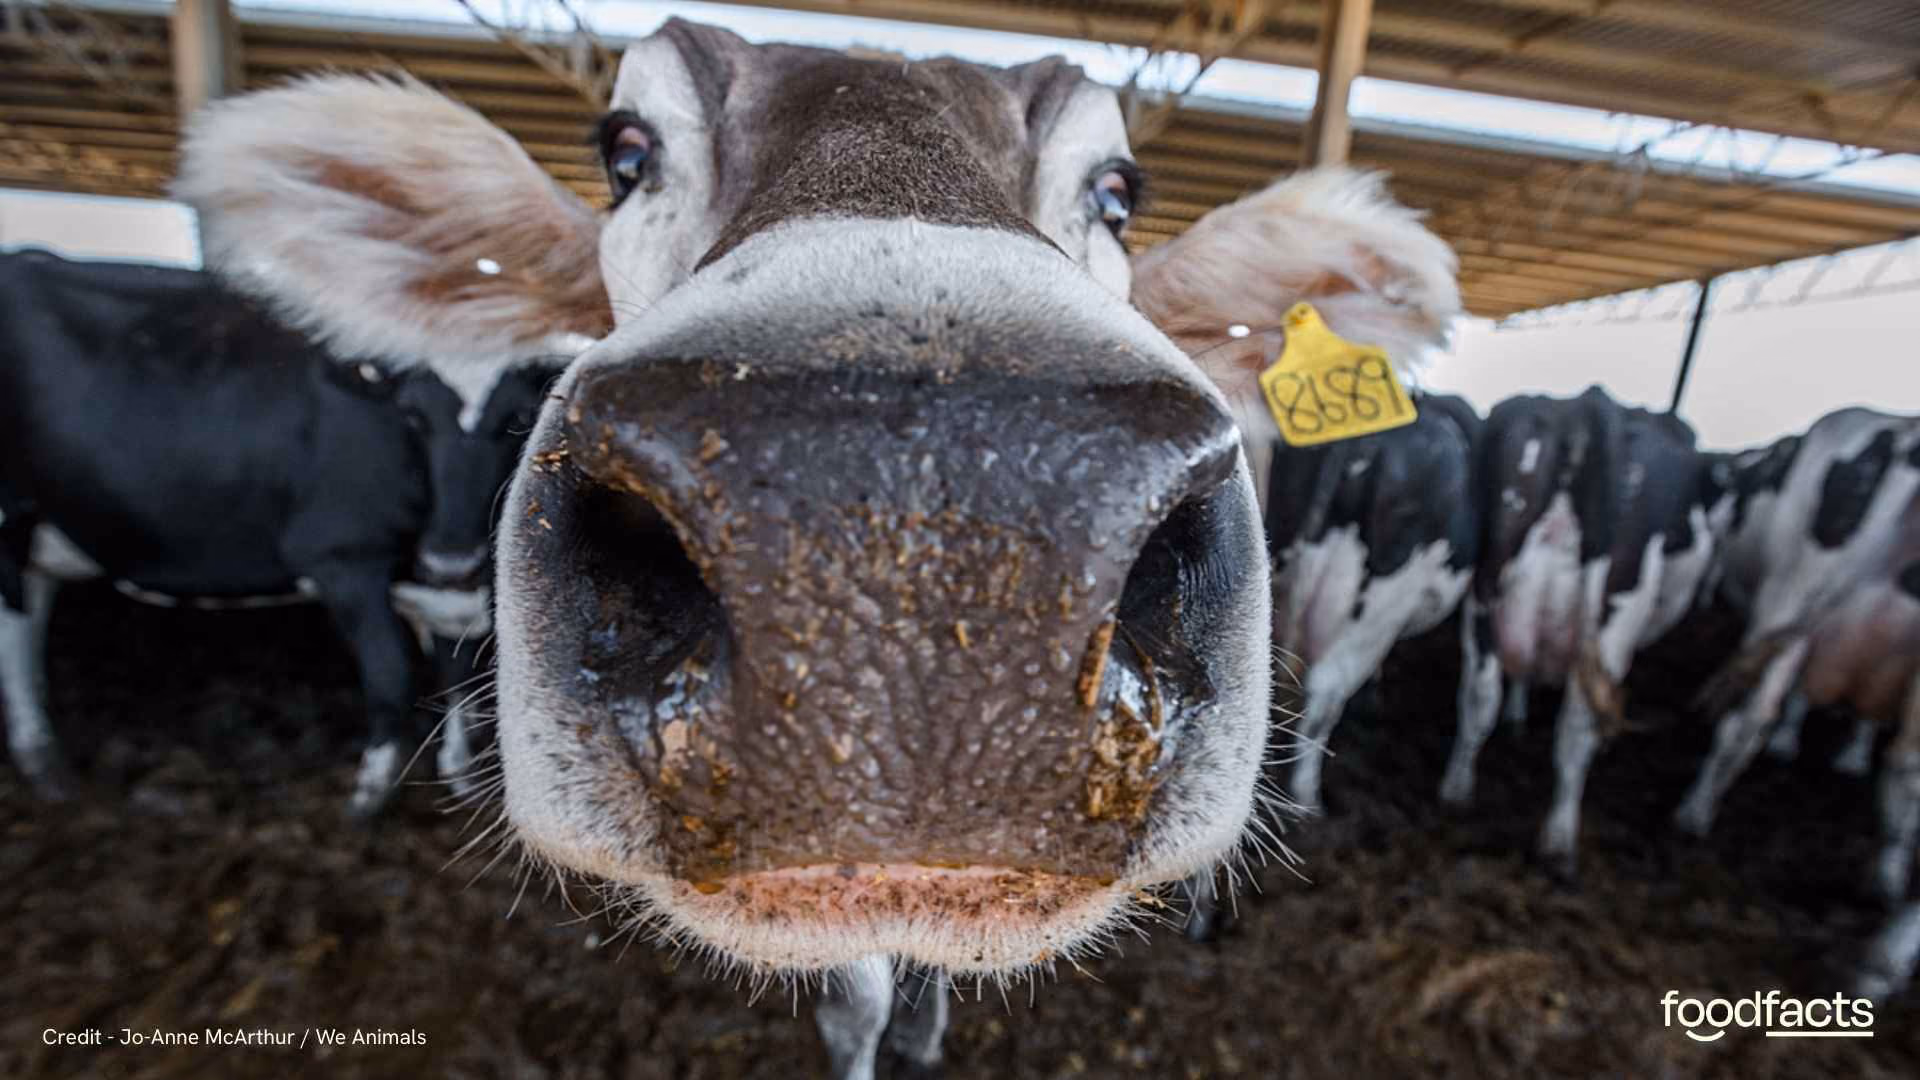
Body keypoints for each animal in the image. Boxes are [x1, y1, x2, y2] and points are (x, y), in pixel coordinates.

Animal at [0, 250, 567, 816]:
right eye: (414, 414)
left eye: (519, 415)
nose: (451, 558)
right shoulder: (342, 557)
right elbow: (391, 674)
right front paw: (368, 797)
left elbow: (458, 674)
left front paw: (461, 778)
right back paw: (40, 761)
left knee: (28, 620)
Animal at [1436, 386, 1726, 875]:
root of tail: (1579, 406)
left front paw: (1517, 713)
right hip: (1614, 617)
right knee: (1578, 727)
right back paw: (1559, 842)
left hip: (1484, 589)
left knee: (1479, 697)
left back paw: (1456, 790)